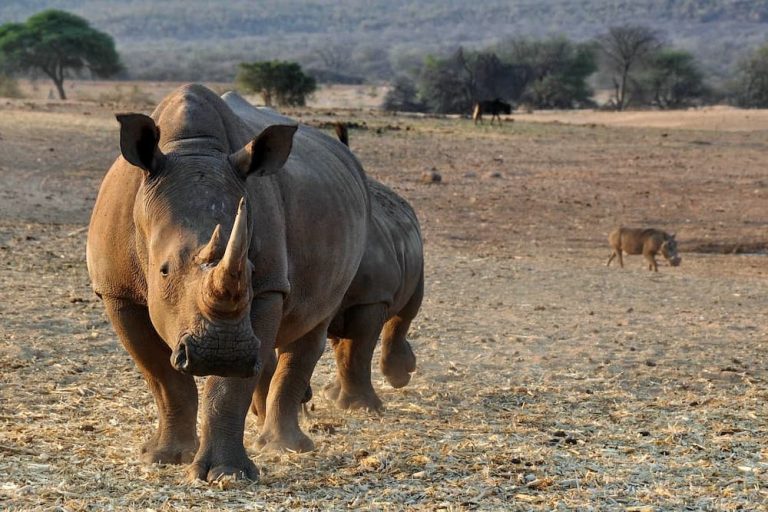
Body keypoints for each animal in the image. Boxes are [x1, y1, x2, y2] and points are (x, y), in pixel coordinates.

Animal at [86, 84, 370, 482]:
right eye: (163, 271)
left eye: (249, 270)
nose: (222, 353)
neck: (192, 148)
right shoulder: (117, 291)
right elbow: (163, 377)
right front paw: (165, 457)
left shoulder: (268, 286)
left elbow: (230, 387)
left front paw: (227, 473)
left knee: (311, 327)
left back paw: (285, 446)